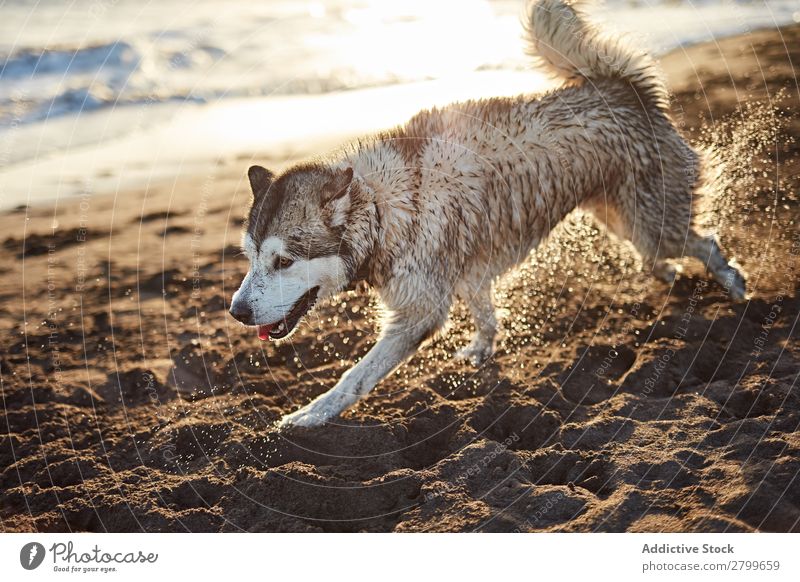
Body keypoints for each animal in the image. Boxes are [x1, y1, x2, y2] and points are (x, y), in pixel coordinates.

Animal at [228, 0, 748, 428]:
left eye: (283, 261)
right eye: (251, 258)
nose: (236, 311)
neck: (381, 206)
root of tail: (622, 89)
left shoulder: (420, 310)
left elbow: (356, 376)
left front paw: (311, 413)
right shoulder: (466, 273)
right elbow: (485, 313)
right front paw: (483, 347)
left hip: (646, 221)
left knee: (703, 240)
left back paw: (732, 282)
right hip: (618, 218)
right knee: (665, 246)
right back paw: (666, 272)